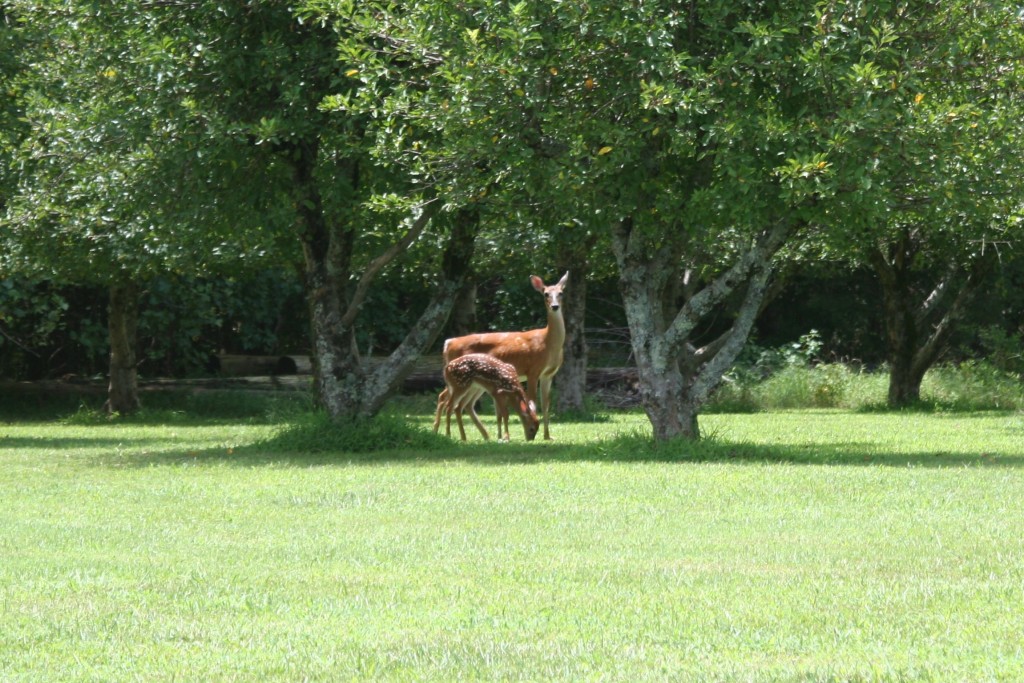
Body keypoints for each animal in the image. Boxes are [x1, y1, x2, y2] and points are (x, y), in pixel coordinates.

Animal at [433, 272, 568, 441]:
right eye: (546, 294)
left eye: (561, 293)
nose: (555, 306)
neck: (548, 343)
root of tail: (448, 343)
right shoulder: (533, 370)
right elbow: (533, 401)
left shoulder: (549, 374)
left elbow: (546, 405)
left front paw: (548, 436)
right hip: (460, 376)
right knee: (444, 398)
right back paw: (440, 431)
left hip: (474, 382)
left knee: (460, 403)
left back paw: (483, 435)